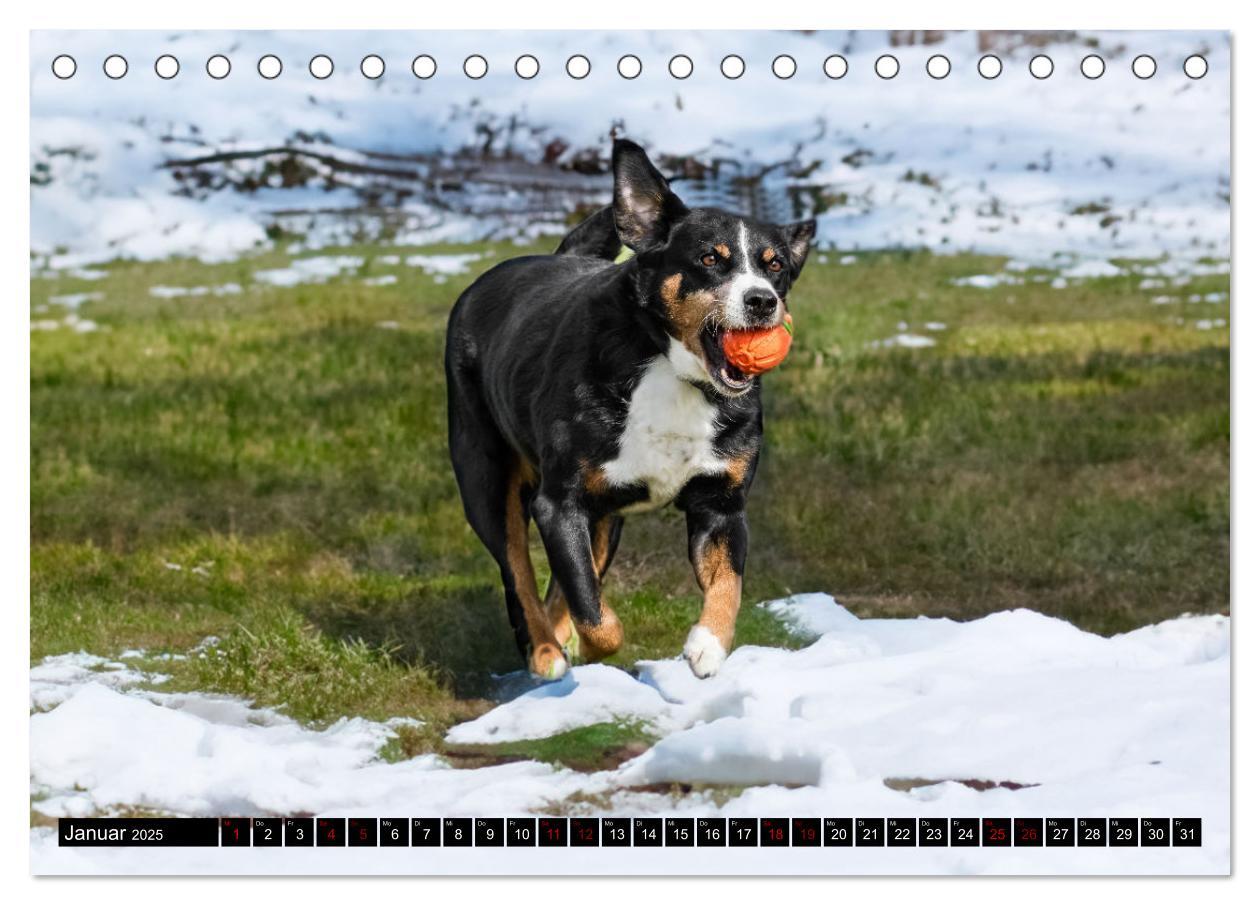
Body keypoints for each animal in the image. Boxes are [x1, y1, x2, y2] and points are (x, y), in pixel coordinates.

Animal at [443, 139, 816, 680]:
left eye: (775, 266)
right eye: (710, 258)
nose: (762, 301)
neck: (671, 369)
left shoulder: (721, 502)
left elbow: (727, 581)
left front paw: (708, 644)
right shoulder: (561, 504)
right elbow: (593, 610)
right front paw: (590, 640)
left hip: (604, 519)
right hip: (487, 482)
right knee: (520, 574)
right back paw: (545, 651)